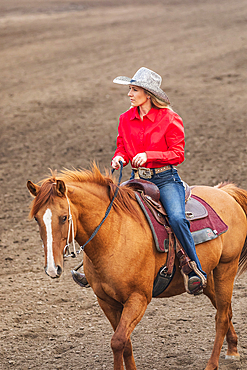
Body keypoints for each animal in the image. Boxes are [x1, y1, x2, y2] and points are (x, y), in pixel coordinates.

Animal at [26, 165, 247, 370]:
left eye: (64, 217)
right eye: (37, 218)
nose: (52, 268)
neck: (114, 235)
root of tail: (224, 192)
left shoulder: (138, 298)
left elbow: (117, 342)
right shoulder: (107, 302)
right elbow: (126, 343)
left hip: (226, 268)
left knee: (221, 317)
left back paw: (212, 364)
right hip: (208, 277)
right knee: (225, 310)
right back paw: (233, 350)